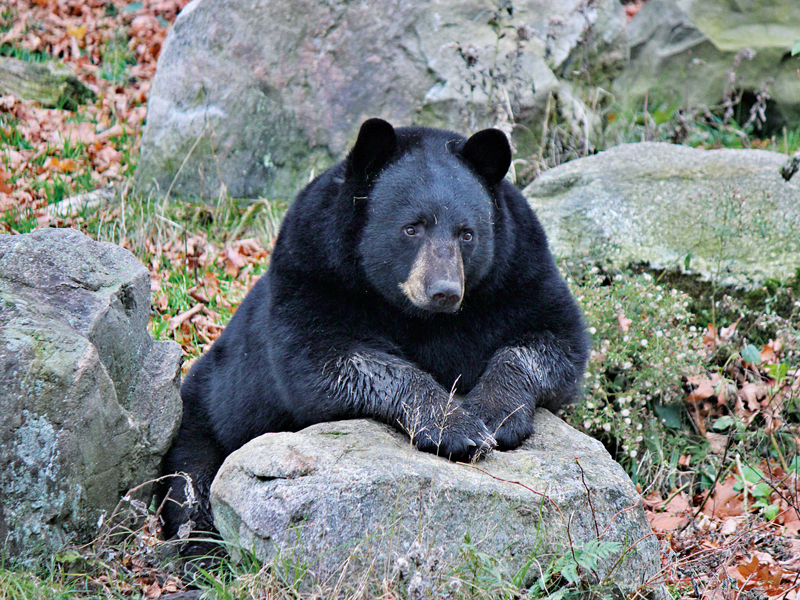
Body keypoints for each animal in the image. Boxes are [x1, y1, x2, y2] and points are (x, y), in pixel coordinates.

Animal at [159, 118, 590, 552]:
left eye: (467, 234)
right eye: (411, 228)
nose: (445, 291)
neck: (422, 317)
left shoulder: (518, 271)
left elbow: (553, 338)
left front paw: (495, 413)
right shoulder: (313, 273)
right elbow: (328, 361)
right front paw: (456, 428)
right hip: (203, 419)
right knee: (191, 488)